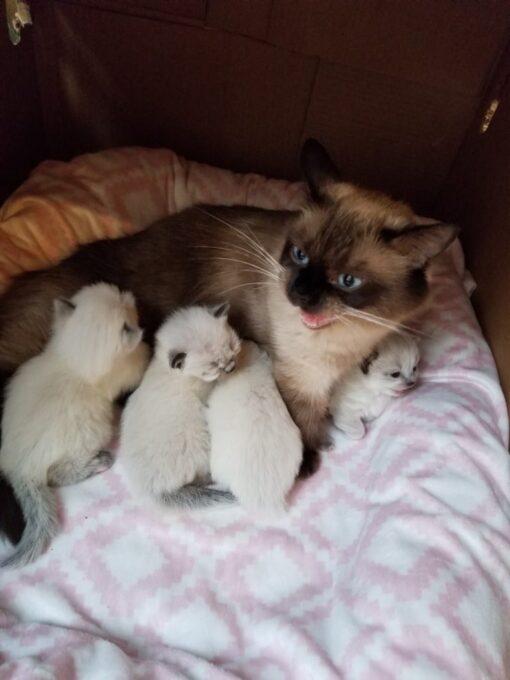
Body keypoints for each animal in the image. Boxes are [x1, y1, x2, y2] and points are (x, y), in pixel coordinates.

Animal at [0, 282, 149, 568]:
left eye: (118, 294)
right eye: (128, 307)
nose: (129, 294)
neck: (71, 361)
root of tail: (19, 469)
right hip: (90, 434)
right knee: (57, 475)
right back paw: (99, 461)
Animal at [119, 304, 241, 510]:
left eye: (232, 347)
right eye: (213, 366)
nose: (230, 368)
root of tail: (153, 491)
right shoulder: (206, 389)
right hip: (201, 442)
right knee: (202, 477)